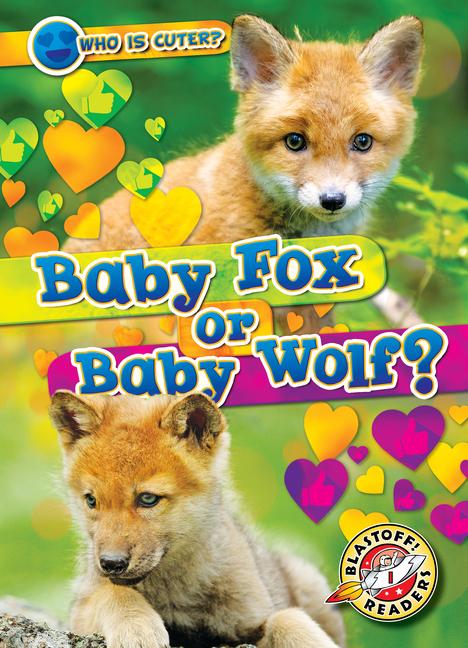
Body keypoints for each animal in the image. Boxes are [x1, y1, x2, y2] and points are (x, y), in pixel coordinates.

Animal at [50, 389, 346, 648]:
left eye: (148, 499)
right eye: (91, 501)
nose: (111, 563)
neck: (176, 593)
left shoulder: (251, 620)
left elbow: (287, 617)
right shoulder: (82, 606)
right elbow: (113, 594)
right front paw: (137, 629)